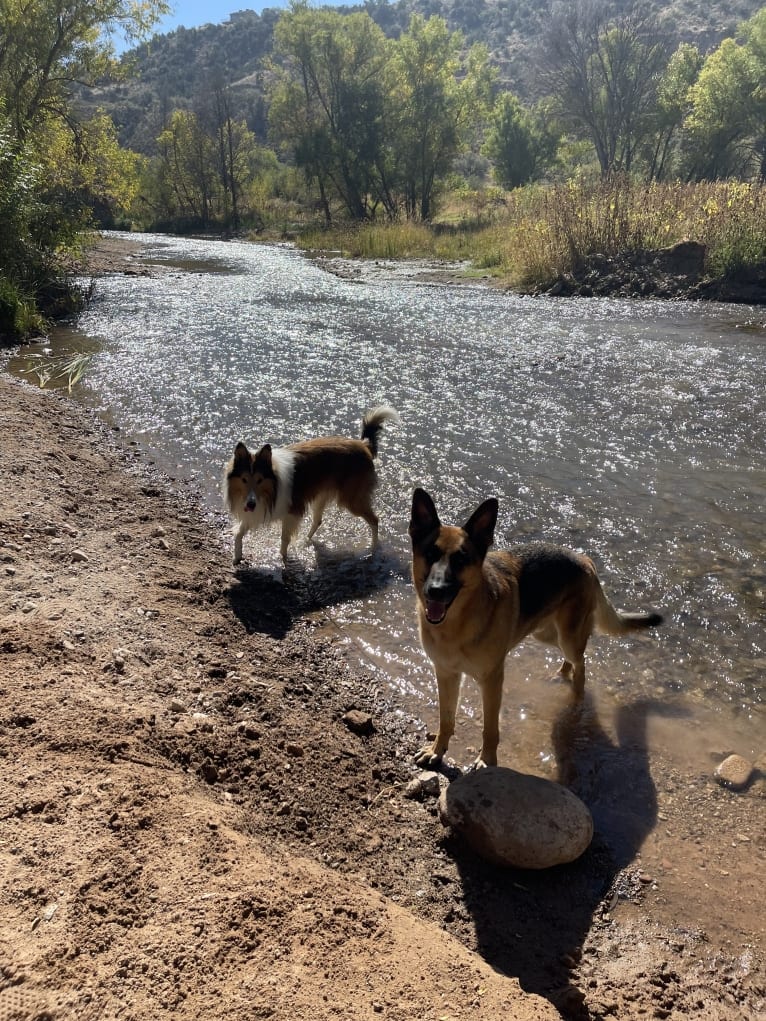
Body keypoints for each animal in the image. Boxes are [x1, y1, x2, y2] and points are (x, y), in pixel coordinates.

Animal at [223, 406, 398, 567]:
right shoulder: (256, 511)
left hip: (351, 500)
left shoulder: (291, 512)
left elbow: (284, 538)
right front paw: (237, 556)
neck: (273, 486)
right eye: (244, 479)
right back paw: (306, 540)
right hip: (322, 496)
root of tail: (363, 445)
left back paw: (373, 549)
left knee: (375, 520)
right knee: (318, 520)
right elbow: (238, 533)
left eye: (259, 480)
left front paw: (283, 559)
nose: (250, 504)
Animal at [408, 485, 665, 767]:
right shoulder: (446, 674)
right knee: (571, 658)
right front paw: (437, 750)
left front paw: (487, 759)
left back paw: (575, 696)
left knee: (582, 663)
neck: (457, 624)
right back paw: (562, 674)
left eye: (461, 560)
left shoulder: (492, 680)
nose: (435, 591)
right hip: (546, 633)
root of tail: (584, 559)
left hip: (568, 637)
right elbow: (446, 719)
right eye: (430, 554)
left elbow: (490, 728)